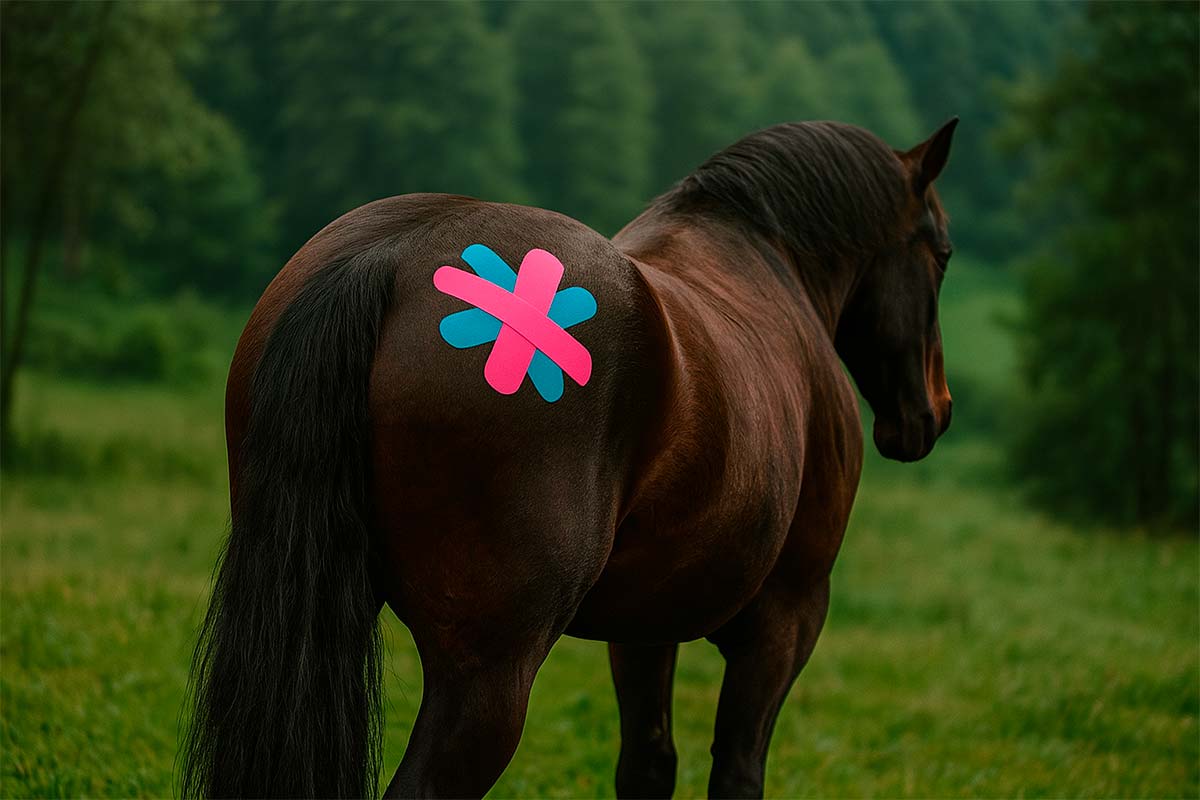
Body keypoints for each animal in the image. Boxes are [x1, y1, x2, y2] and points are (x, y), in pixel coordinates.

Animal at [181, 117, 957, 799]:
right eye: (943, 254)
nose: (935, 412)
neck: (771, 262)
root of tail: (391, 253)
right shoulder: (786, 618)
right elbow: (736, 773)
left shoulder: (647, 625)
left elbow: (647, 766)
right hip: (489, 671)